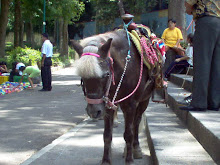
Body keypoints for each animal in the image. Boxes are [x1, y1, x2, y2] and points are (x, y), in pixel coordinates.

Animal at [72, 30, 155, 165]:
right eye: (82, 77)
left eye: (106, 74)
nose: (93, 111)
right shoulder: (107, 105)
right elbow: (107, 135)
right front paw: (106, 160)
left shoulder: (130, 105)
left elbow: (129, 134)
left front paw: (129, 160)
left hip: (144, 100)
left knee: (136, 123)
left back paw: (135, 149)